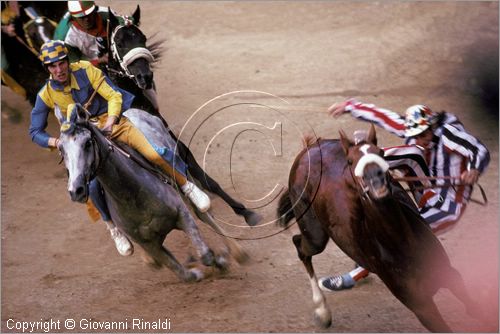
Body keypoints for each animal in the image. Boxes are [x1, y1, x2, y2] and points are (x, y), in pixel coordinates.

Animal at [56, 103, 248, 280]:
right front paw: (194, 270)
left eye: (88, 143)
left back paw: (236, 249)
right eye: (61, 149)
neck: (132, 195)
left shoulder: (182, 215)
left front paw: (221, 261)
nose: (76, 190)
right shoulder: (149, 245)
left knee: (203, 213)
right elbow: (183, 274)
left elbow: (206, 255)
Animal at [105, 6, 262, 227]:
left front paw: (245, 211)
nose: (145, 77)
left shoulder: (173, 138)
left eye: (143, 38)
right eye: (119, 42)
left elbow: (204, 177)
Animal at [280, 125, 482, 332]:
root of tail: (311, 147)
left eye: (381, 153)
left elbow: (474, 309)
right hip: (315, 236)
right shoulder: (422, 307)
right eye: (350, 160)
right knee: (300, 246)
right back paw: (322, 310)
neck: (402, 246)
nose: (376, 180)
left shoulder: (450, 276)